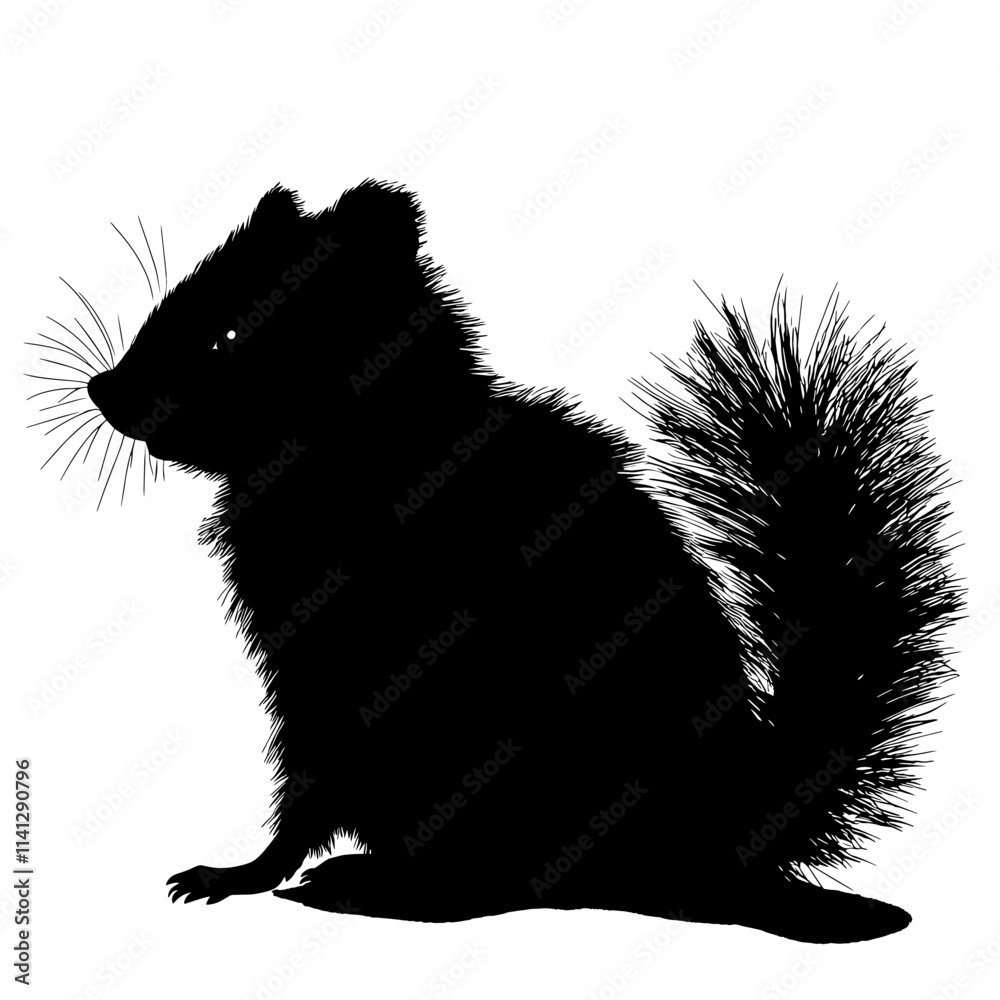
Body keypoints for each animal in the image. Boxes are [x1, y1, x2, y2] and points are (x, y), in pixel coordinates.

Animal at [46, 180, 959, 943]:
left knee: (522, 877)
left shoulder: (349, 660)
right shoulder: (307, 666)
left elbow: (312, 782)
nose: (104, 389)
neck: (361, 452)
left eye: (230, 333)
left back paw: (384, 885)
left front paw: (254, 871)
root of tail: (731, 827)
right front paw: (241, 872)